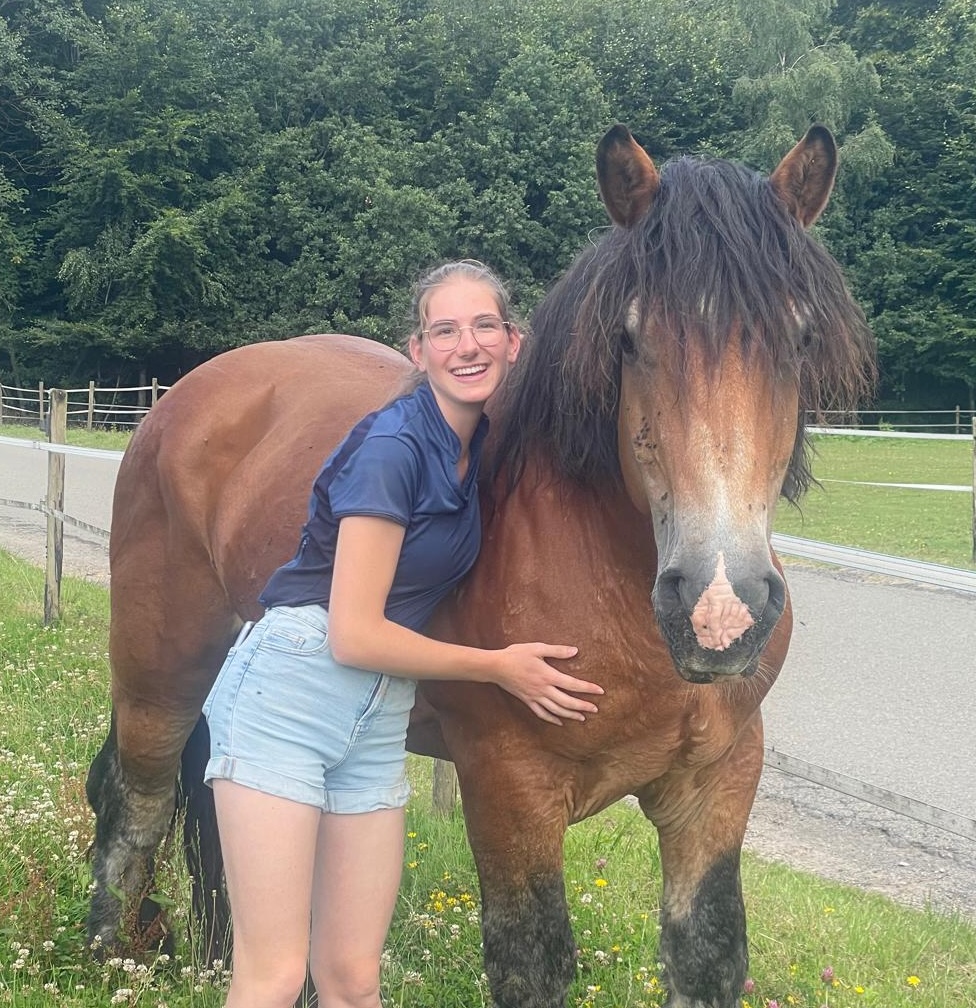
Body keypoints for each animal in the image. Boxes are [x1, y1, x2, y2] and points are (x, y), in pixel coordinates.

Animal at [86, 123, 874, 1008]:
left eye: (799, 338)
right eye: (629, 339)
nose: (718, 610)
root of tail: (179, 401)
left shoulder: (717, 785)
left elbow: (706, 951)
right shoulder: (509, 788)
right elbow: (531, 959)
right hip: (161, 674)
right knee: (136, 799)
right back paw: (106, 956)